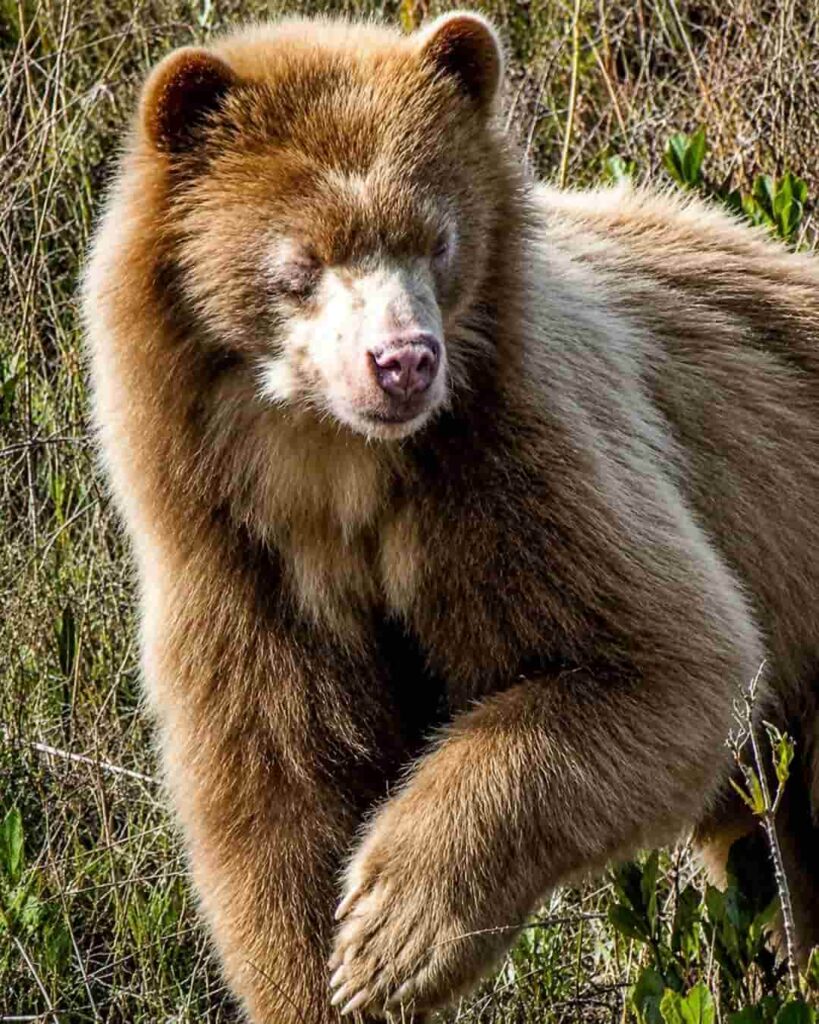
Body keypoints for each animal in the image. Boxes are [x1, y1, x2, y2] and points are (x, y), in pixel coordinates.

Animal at [83, 10, 819, 1023]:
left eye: (435, 239)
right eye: (302, 261)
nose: (403, 360)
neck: (335, 469)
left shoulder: (518, 465)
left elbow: (663, 659)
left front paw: (389, 936)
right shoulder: (236, 559)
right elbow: (276, 794)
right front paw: (324, 975)